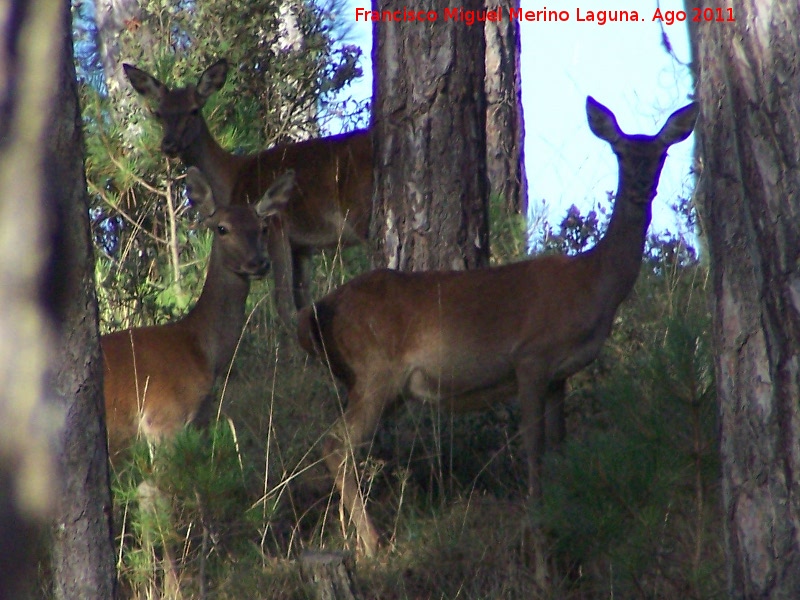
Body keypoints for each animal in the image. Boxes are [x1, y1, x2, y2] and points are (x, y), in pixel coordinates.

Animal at [123, 60, 374, 324]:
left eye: (194, 110)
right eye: (159, 113)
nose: (168, 144)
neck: (232, 176)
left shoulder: (275, 226)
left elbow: (284, 306)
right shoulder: (302, 245)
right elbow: (305, 303)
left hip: (361, 212)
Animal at [296, 96, 696, 556]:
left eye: (661, 154)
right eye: (621, 153)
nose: (641, 187)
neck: (592, 285)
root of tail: (317, 310)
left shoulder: (560, 375)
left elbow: (559, 445)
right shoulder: (531, 356)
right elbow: (533, 447)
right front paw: (535, 519)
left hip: (377, 382)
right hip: (375, 369)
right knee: (336, 443)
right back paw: (374, 541)